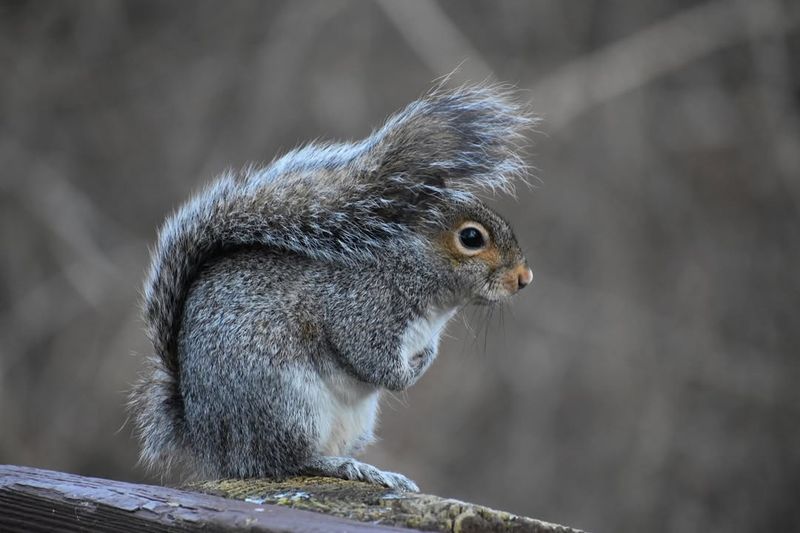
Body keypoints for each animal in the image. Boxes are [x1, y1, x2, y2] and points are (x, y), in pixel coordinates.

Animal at [128, 82, 536, 490]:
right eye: (471, 238)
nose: (524, 278)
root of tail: (207, 442)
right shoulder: (359, 307)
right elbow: (372, 361)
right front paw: (408, 373)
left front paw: (427, 357)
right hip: (287, 406)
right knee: (285, 461)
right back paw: (342, 466)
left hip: (350, 421)